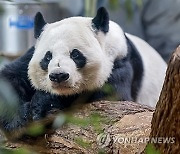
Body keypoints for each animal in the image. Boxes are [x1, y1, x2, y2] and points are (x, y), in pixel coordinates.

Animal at [0, 7, 166, 132]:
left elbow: (107, 97)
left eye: (75, 54)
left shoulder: (121, 62)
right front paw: (16, 120)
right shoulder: (29, 56)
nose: (58, 76)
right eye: (47, 57)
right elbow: (10, 77)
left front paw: (43, 107)